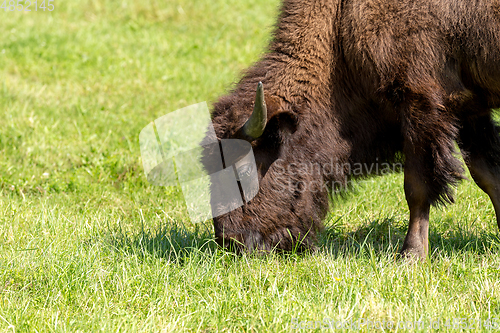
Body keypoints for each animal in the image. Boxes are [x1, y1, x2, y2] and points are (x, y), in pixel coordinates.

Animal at [205, 0, 500, 258]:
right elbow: (487, 176)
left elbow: (417, 188)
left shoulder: (420, 105)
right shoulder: (469, 108)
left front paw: (411, 256)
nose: (231, 241)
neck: (340, 22)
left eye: (244, 170)